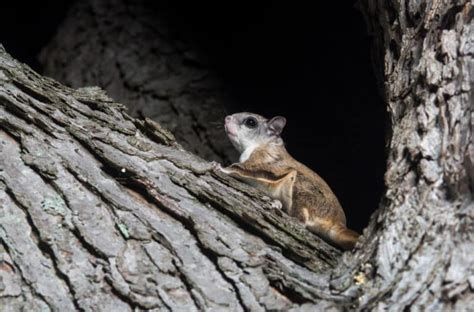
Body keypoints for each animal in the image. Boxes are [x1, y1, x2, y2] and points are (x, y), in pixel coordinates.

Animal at [212, 111, 360, 250]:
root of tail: (338, 223)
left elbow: (239, 168)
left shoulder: (264, 160)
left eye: (251, 122)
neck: (261, 144)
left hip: (303, 189)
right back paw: (277, 204)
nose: (227, 118)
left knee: (303, 220)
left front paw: (221, 168)